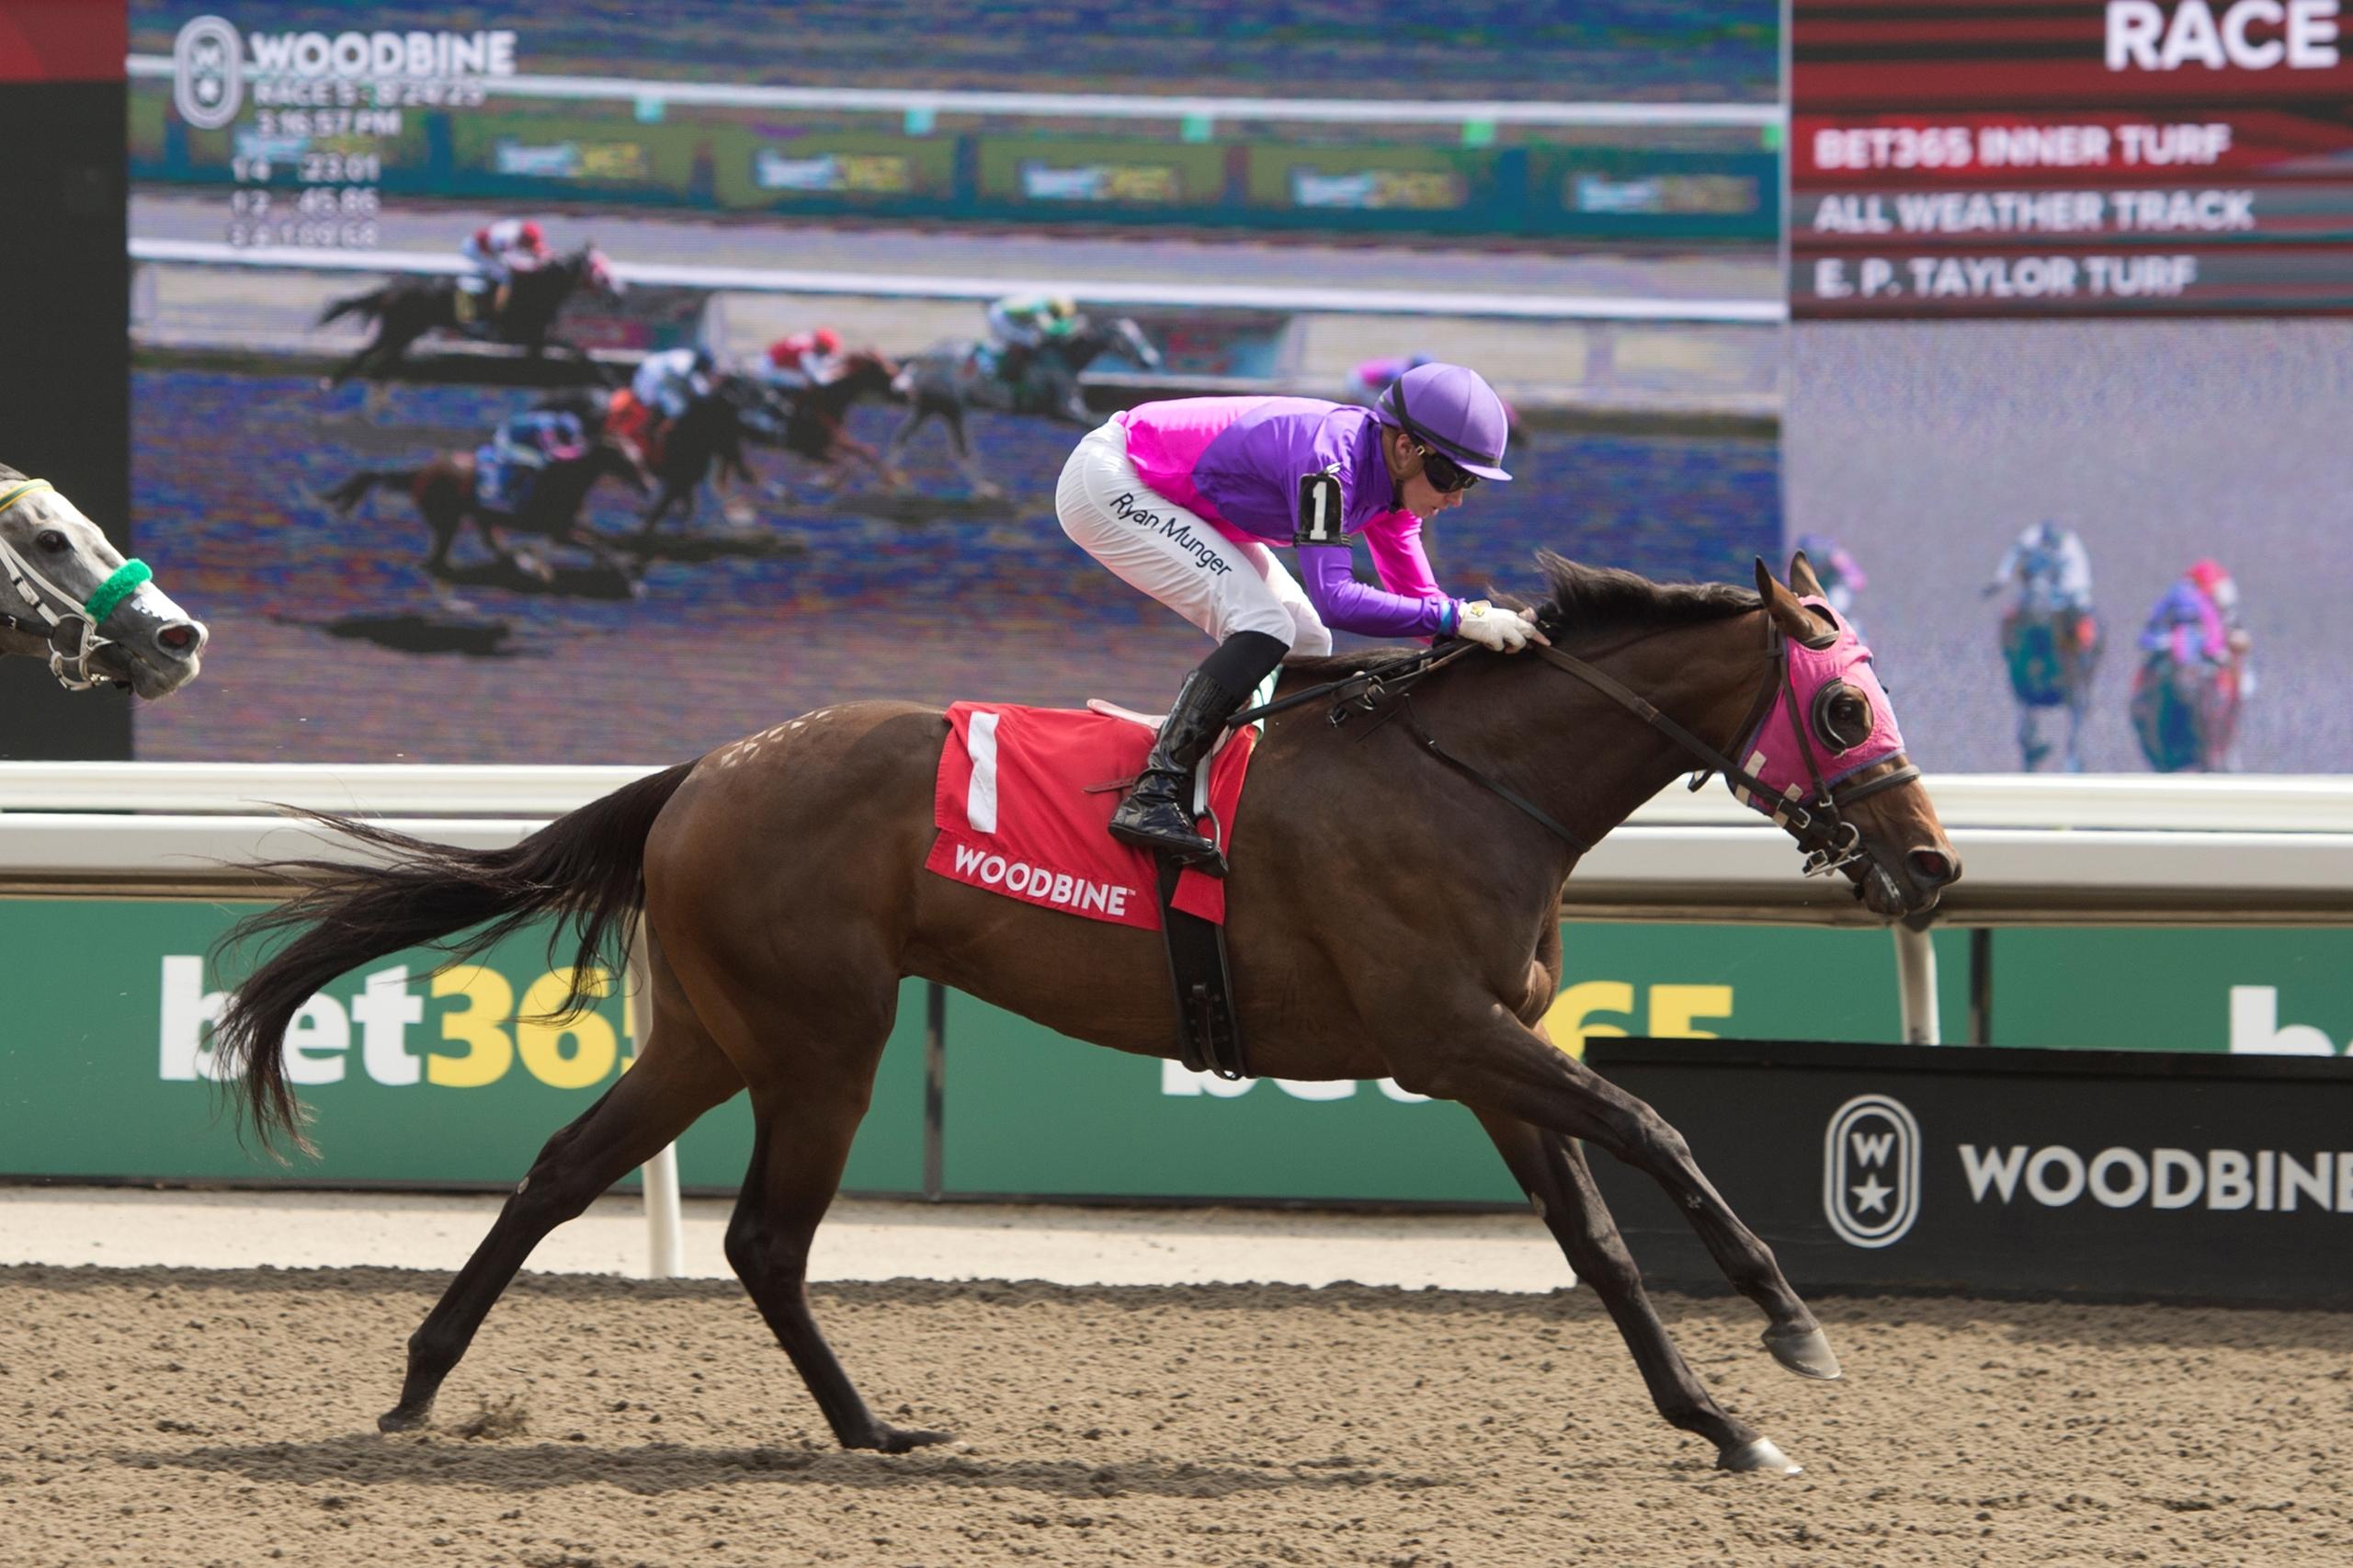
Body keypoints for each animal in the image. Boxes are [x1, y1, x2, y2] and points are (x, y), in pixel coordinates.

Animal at [210, 552, 1959, 1477]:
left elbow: (1597, 1240)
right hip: (822, 1038)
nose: (1934, 865)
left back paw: (427, 1381)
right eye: (1848, 705)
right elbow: (1658, 1127)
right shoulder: (1446, 1035)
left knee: (568, 1173)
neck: (1474, 782)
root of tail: (707, 769)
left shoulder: (1485, 1062)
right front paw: (1791, 1326)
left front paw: (1717, 1419)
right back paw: (869, 1427)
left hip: (714, 1029)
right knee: (762, 1235)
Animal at [317, 246, 622, 389]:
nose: (617, 293)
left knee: (382, 361)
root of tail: (392, 287)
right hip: (397, 328)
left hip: (406, 332)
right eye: (599, 267)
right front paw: (609, 379)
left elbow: (566, 355)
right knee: (365, 353)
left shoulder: (537, 338)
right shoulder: (533, 334)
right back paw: (330, 383)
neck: (538, 286)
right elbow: (577, 351)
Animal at [321, 437, 648, 587]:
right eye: (625, 459)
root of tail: (420, 473)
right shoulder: (558, 531)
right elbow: (597, 542)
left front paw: (623, 563)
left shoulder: (569, 525)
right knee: (438, 561)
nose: (646, 484)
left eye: (637, 455)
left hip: (478, 516)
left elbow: (602, 538)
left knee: (485, 545)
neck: (564, 478)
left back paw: (524, 564)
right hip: (448, 519)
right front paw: (624, 572)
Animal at [887, 317, 1162, 494]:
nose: (1150, 360)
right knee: (961, 450)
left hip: (932, 406)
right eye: (1127, 337)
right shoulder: (1060, 409)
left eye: (1140, 333)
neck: (1065, 356)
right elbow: (1093, 423)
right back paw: (984, 489)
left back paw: (891, 479)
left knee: (904, 437)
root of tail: (923, 357)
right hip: (951, 407)